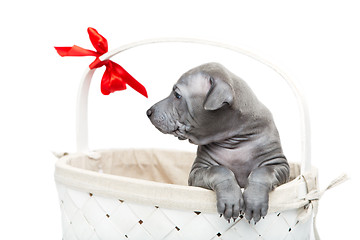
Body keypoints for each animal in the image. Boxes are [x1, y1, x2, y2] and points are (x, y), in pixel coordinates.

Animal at [146, 62, 290, 223]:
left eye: (177, 95)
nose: (148, 112)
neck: (234, 140)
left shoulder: (279, 164)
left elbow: (262, 172)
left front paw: (254, 201)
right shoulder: (197, 171)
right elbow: (219, 170)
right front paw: (230, 200)